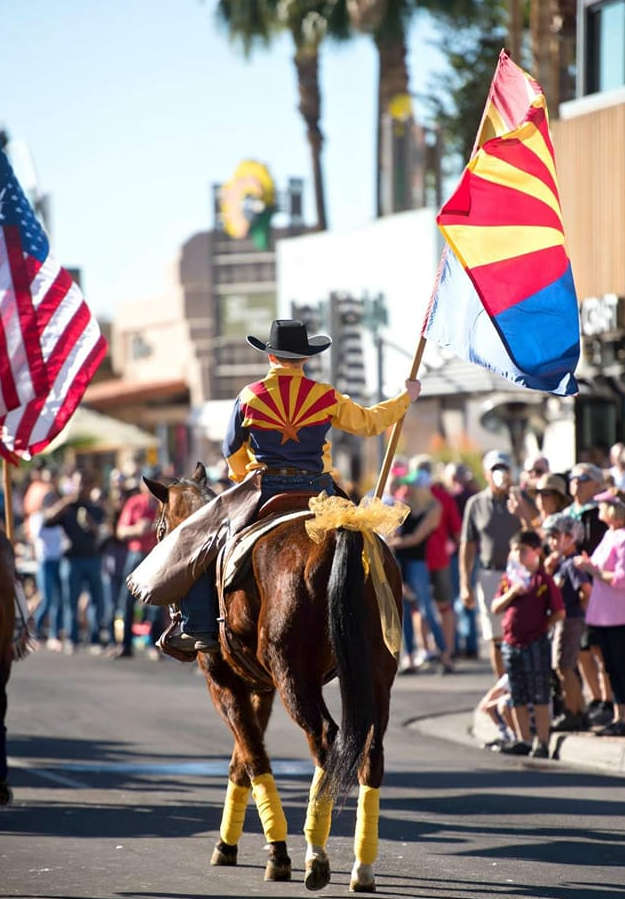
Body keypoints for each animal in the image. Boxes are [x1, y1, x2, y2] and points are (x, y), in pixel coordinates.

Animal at [144, 464, 402, 892]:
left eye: (161, 530)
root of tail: (338, 530)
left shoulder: (223, 684)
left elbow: (253, 757)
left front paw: (277, 853)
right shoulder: (260, 688)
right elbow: (242, 760)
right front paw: (227, 844)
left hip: (293, 677)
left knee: (325, 741)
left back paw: (316, 856)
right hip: (375, 679)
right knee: (370, 752)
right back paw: (362, 868)